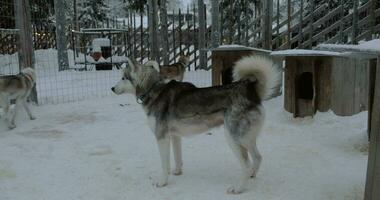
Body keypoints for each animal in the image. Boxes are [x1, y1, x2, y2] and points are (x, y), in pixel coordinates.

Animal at [110, 55, 280, 194]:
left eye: (124, 77)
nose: (111, 88)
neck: (153, 88)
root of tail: (250, 90)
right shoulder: (175, 136)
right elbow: (177, 157)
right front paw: (178, 172)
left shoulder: (162, 137)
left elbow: (165, 165)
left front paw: (162, 182)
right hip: (247, 139)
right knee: (258, 158)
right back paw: (252, 175)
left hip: (233, 139)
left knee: (246, 164)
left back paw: (238, 188)